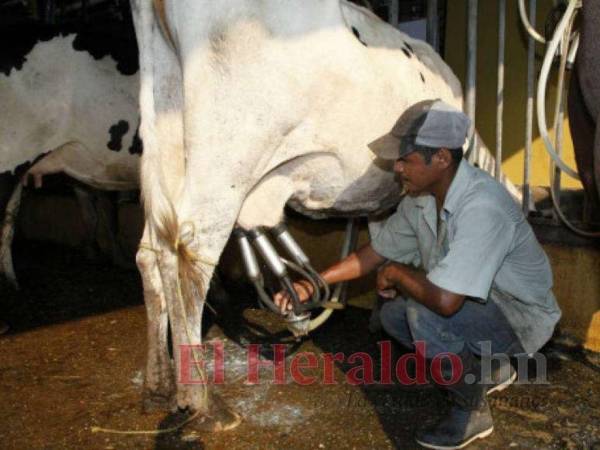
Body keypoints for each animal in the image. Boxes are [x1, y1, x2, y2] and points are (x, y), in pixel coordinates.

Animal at [132, 0, 520, 424]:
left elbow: (379, 241)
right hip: (228, 153)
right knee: (192, 252)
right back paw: (202, 400)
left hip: (165, 134)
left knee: (153, 251)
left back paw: (158, 383)